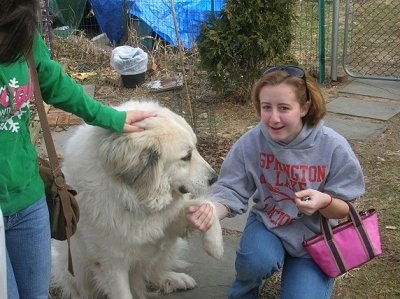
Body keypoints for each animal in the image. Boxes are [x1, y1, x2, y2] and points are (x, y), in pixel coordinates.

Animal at [50, 101, 223, 299]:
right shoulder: (111, 264)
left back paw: (173, 279)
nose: (214, 178)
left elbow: (207, 205)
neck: (137, 198)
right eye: (186, 157)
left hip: (167, 247)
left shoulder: (169, 220)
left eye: (196, 147)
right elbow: (123, 293)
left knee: (154, 271)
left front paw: (215, 246)